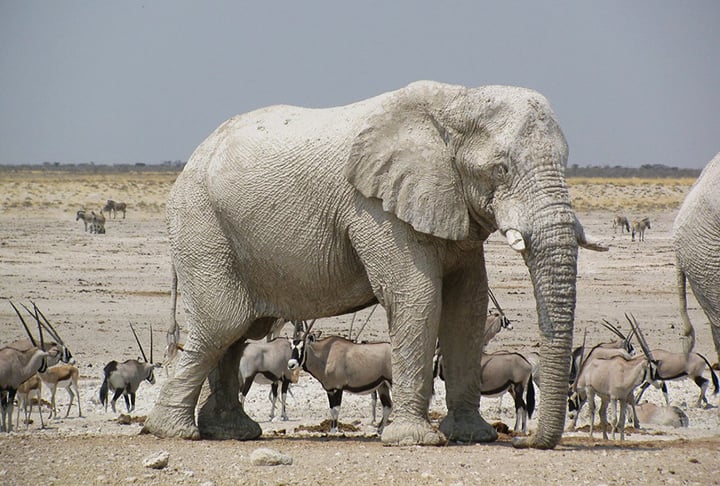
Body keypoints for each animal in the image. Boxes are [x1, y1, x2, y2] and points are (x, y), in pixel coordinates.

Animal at [142, 79, 608, 448]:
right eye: (500, 168)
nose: (524, 442)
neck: (456, 101)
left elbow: (467, 308)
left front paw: (472, 436)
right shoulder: (375, 207)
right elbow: (417, 296)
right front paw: (415, 441)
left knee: (238, 335)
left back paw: (232, 432)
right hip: (202, 227)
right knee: (220, 326)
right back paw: (175, 432)